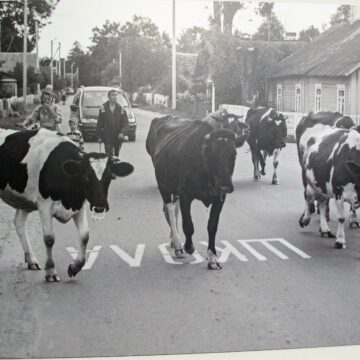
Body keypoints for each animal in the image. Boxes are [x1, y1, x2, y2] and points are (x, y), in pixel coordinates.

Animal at [0, 129, 134, 282]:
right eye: (87, 177)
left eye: (110, 177)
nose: (100, 206)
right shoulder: (44, 205)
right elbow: (49, 239)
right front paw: (51, 271)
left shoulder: (79, 205)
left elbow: (85, 236)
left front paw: (75, 267)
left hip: (24, 202)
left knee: (19, 223)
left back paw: (31, 260)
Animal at [145, 116, 240, 270]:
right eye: (210, 155)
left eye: (234, 155)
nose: (225, 186)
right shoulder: (185, 196)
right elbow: (188, 225)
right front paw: (188, 246)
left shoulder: (220, 198)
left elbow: (212, 226)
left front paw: (212, 258)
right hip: (163, 185)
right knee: (170, 211)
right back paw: (178, 245)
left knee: (173, 210)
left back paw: (174, 240)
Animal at [296, 120, 360, 248]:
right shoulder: (338, 191)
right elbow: (341, 218)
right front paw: (340, 240)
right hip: (306, 180)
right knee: (307, 197)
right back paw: (305, 219)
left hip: (323, 186)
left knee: (322, 204)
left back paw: (325, 230)